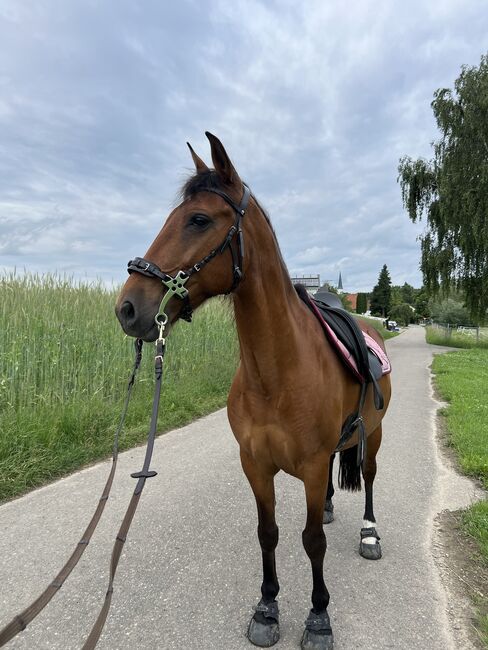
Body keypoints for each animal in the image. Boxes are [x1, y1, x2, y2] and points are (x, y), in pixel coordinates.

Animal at [115, 132, 391, 649]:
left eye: (198, 219)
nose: (127, 308)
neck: (277, 372)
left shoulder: (308, 466)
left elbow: (312, 542)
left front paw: (318, 618)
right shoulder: (256, 465)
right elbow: (269, 533)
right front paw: (266, 608)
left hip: (375, 434)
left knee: (367, 476)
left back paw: (369, 533)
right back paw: (329, 508)